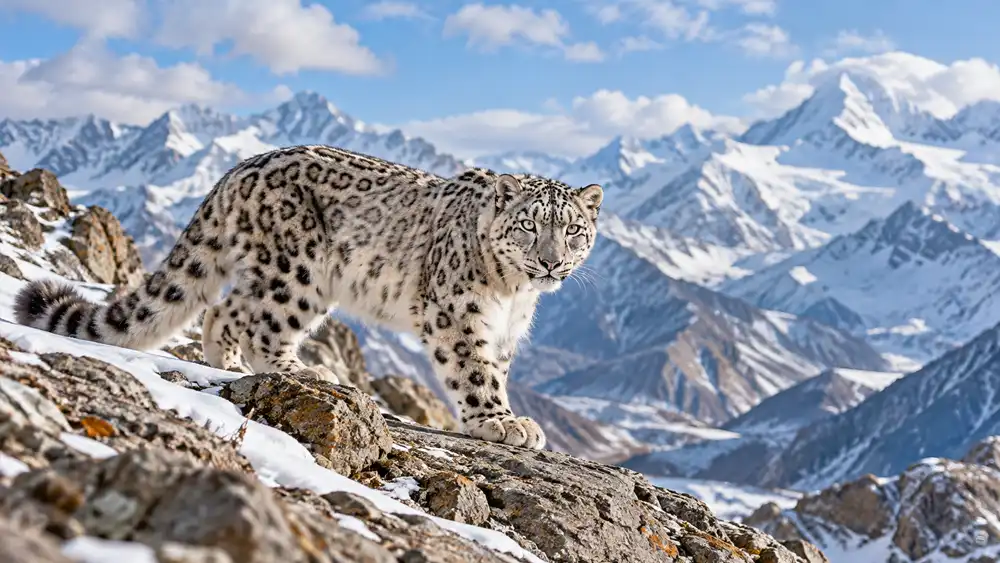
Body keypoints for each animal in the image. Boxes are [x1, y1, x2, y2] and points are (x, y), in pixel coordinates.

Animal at [13, 145, 603, 450]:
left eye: (573, 230)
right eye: (529, 225)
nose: (551, 261)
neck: (514, 293)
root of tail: (237, 169)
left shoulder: (504, 331)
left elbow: (494, 369)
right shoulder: (458, 314)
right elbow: (474, 371)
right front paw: (503, 422)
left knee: (224, 308)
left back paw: (225, 363)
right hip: (297, 271)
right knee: (261, 324)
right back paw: (303, 371)